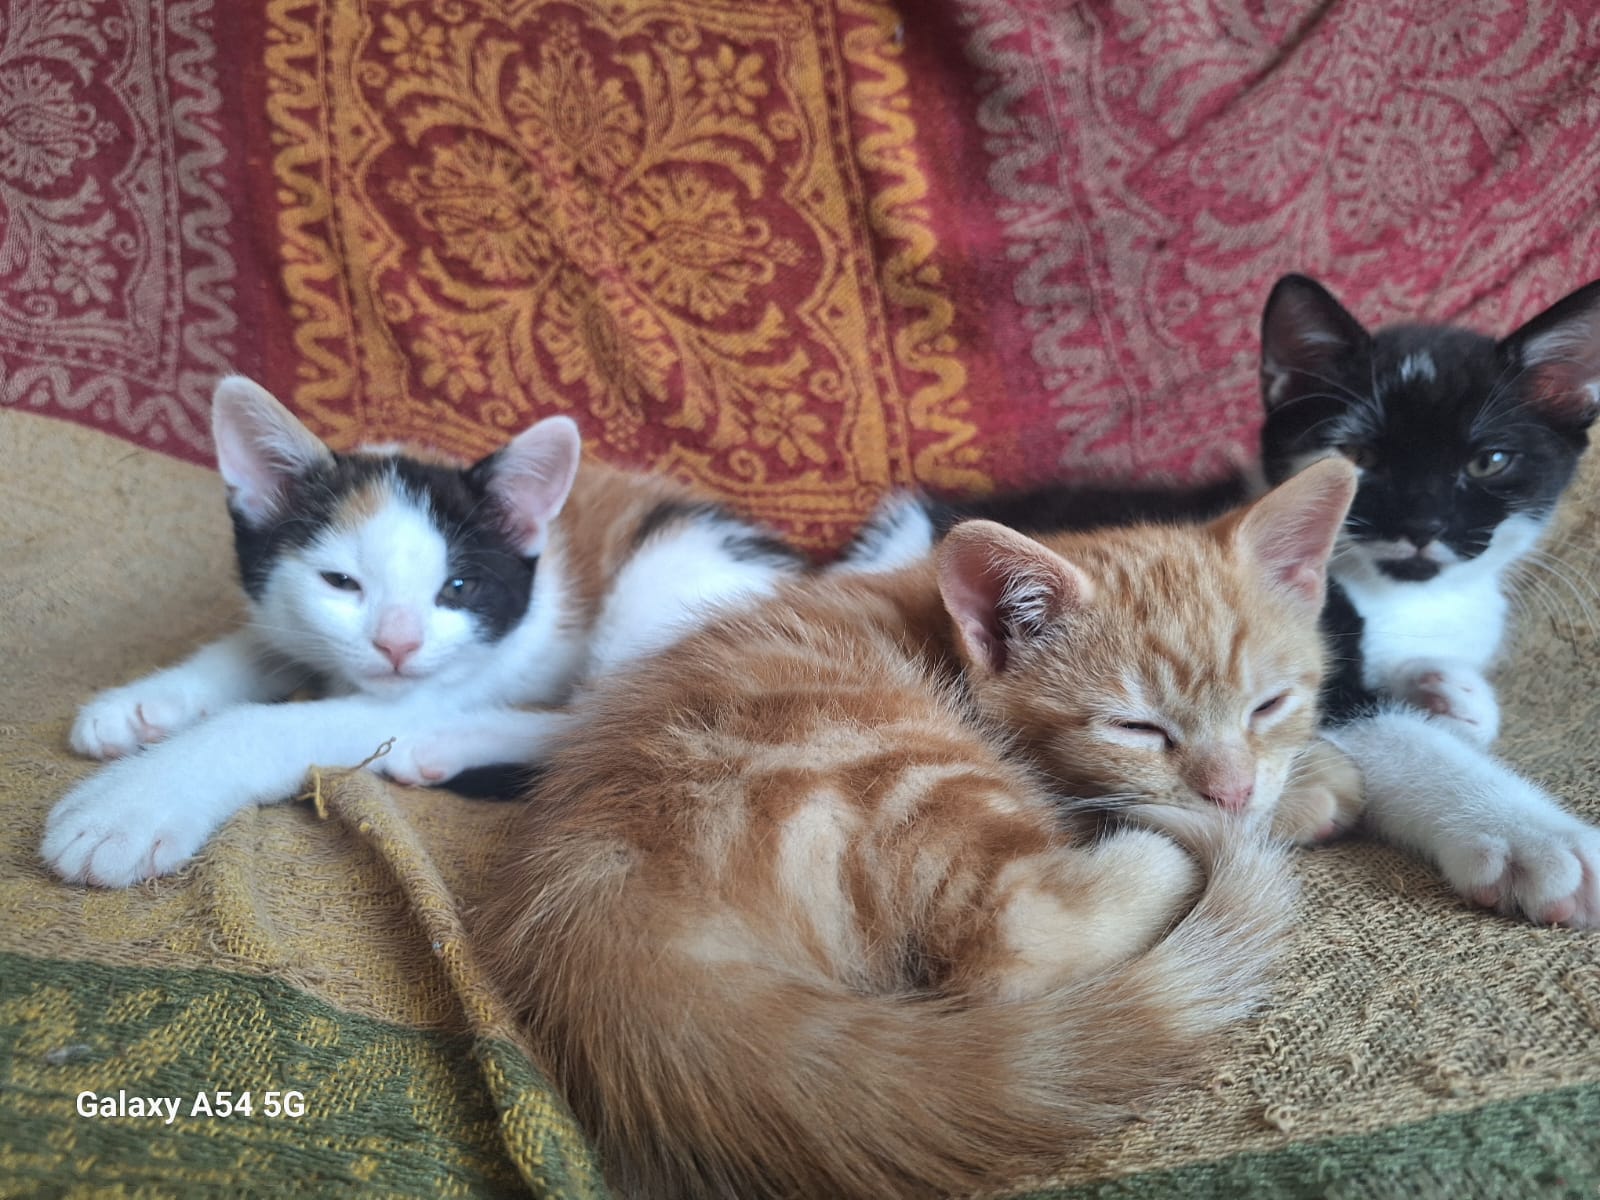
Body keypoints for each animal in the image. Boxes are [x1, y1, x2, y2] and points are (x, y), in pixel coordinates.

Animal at [42, 376, 815, 888]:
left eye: (458, 589)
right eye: (340, 582)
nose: (398, 645)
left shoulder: (445, 680)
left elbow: (269, 725)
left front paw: (130, 804)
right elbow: (259, 643)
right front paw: (141, 705)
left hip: (666, 575)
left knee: (612, 710)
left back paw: (444, 744)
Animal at [471, 458, 1356, 1200]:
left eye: (1270, 705)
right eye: (1137, 728)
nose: (1230, 792)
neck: (938, 622)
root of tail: (605, 914)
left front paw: (1300, 784)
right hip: (893, 762)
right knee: (1016, 940)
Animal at [925, 274, 1600, 927]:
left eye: (1489, 462)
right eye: (1359, 457)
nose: (1421, 524)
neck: (1400, 594)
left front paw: (1451, 692)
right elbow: (1398, 735)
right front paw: (1535, 838)